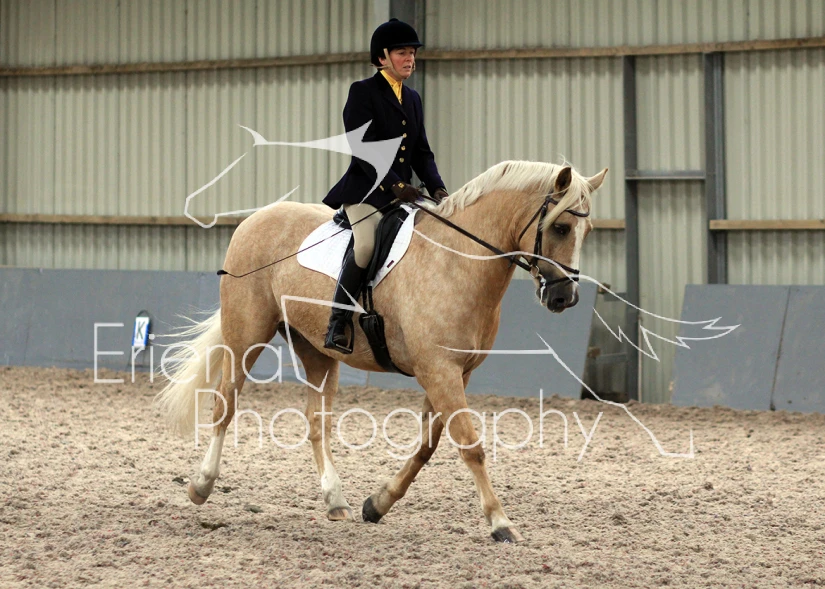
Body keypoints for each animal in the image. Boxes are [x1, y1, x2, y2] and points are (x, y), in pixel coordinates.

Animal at [156, 160, 607, 543]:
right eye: (561, 227)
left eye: (585, 233)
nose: (565, 297)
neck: (456, 262)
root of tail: (253, 219)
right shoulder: (439, 369)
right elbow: (470, 445)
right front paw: (500, 523)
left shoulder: (456, 372)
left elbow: (427, 446)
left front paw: (377, 504)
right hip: (246, 334)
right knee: (225, 404)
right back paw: (201, 485)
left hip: (315, 349)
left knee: (316, 421)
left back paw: (335, 500)